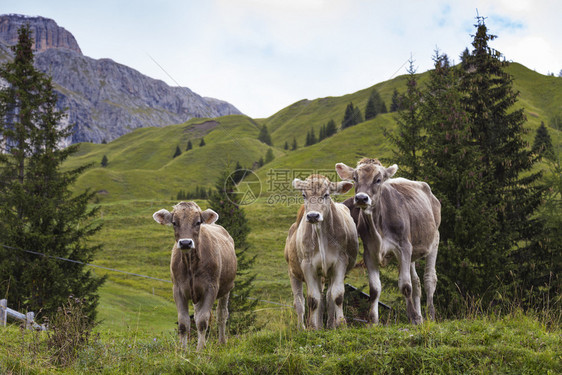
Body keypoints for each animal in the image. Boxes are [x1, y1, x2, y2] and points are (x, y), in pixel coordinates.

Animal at [151, 201, 234, 352]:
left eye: (198, 222)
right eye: (174, 222)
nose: (185, 243)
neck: (190, 263)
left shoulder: (211, 288)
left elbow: (202, 321)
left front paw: (200, 349)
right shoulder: (177, 289)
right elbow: (184, 322)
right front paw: (183, 350)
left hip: (227, 288)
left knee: (221, 314)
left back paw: (222, 342)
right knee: (196, 315)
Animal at [284, 175, 358, 330]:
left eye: (326, 195)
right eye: (304, 195)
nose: (313, 216)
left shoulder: (340, 262)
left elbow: (337, 296)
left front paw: (341, 324)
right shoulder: (307, 265)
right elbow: (313, 299)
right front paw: (313, 327)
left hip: (325, 275)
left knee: (328, 297)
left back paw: (329, 325)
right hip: (293, 272)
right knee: (299, 301)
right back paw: (303, 327)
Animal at [334, 159, 440, 326]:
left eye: (378, 180)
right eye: (355, 178)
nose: (361, 198)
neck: (377, 227)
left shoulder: (403, 247)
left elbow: (405, 285)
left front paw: (413, 318)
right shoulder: (370, 252)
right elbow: (375, 289)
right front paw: (373, 320)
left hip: (434, 240)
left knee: (429, 279)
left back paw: (431, 316)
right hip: (412, 253)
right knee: (417, 282)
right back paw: (422, 316)